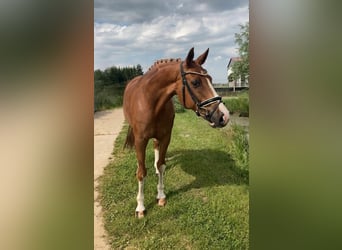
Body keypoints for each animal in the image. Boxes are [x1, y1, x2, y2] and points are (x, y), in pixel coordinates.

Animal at [123, 47, 230, 218]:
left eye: (211, 79)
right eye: (195, 82)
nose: (224, 116)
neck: (151, 102)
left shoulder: (166, 137)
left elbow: (161, 165)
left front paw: (161, 196)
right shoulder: (140, 140)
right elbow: (141, 172)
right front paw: (140, 207)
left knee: (156, 149)